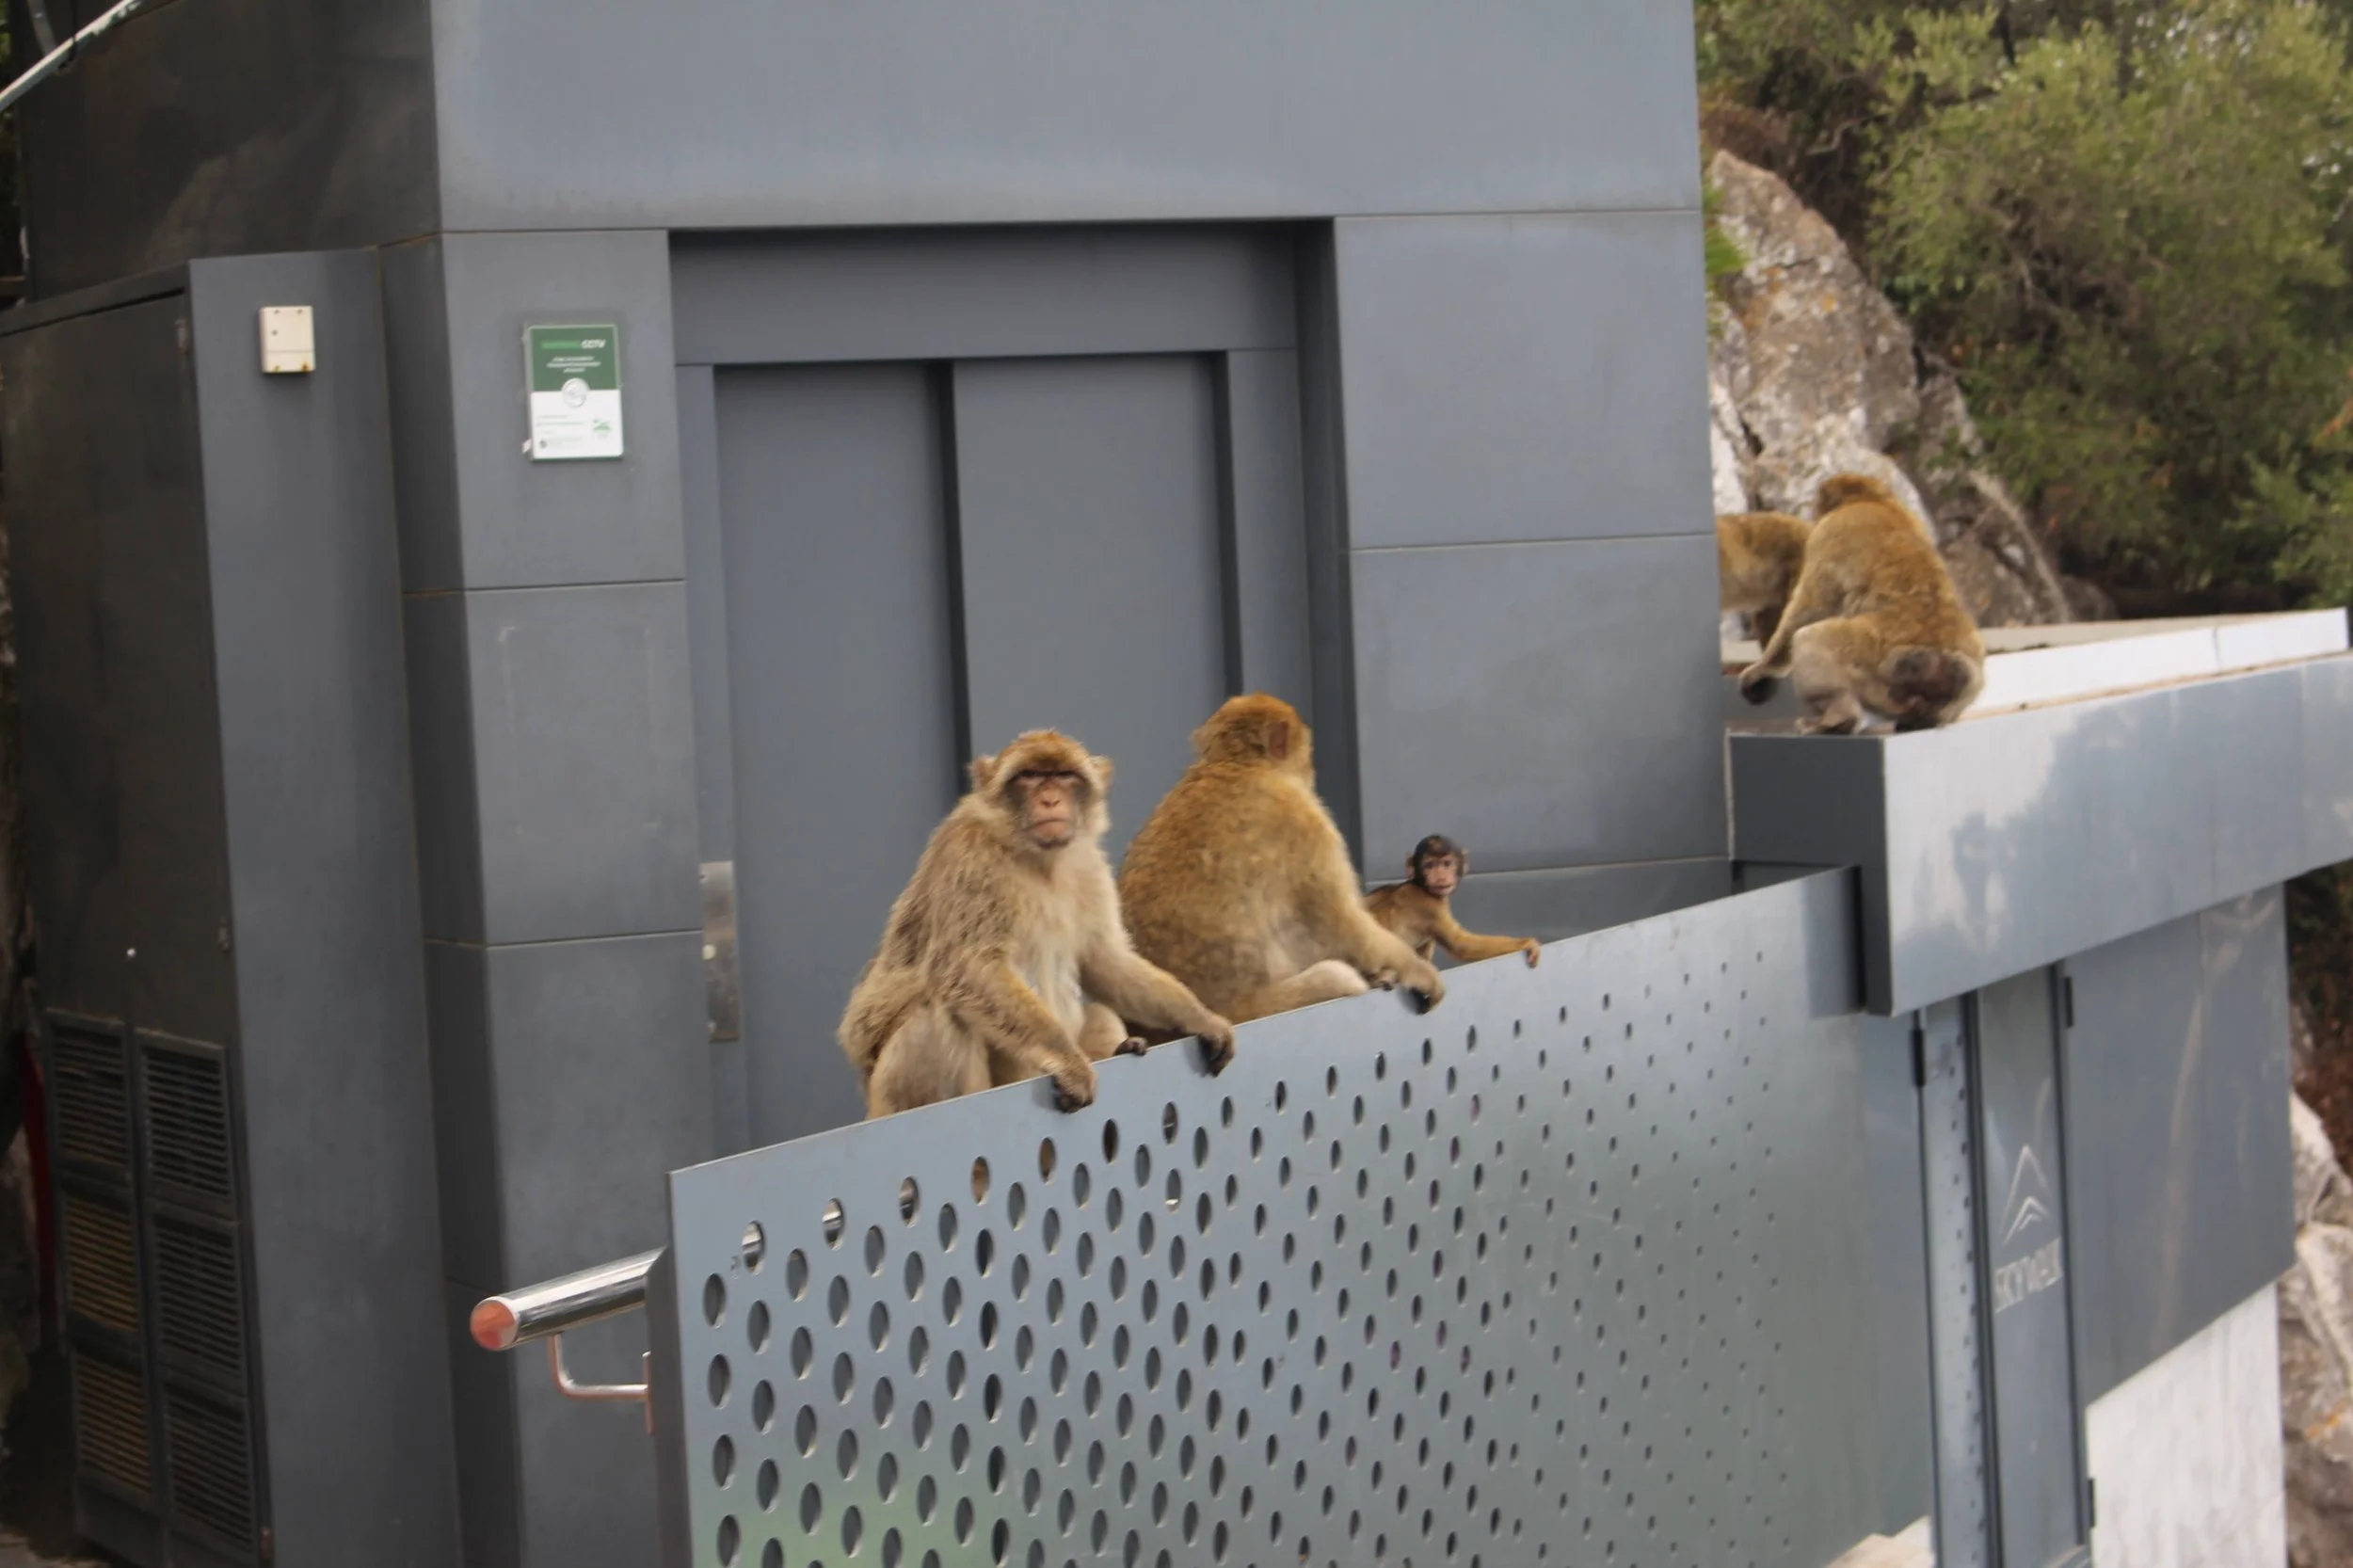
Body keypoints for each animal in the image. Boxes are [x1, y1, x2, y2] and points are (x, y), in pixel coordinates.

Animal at [839, 730, 1237, 1119]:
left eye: (1064, 776)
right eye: (1030, 776)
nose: (1050, 799)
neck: (1039, 860)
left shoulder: (1089, 866)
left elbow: (1105, 962)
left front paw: (1199, 1017)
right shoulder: (971, 855)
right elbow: (969, 966)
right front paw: (1067, 1060)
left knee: (1098, 1009)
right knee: (937, 1020)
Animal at [1118, 694, 1446, 1024]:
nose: (1311, 772)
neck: (1238, 764)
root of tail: (1228, 1010)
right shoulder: (1305, 823)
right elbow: (1342, 925)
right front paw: (1419, 972)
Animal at [1365, 834, 1542, 971]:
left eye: (1447, 864)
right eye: (1429, 865)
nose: (1440, 875)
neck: (1419, 885)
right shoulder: (1430, 905)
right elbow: (1461, 944)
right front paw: (1525, 943)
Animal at [1737, 473, 1985, 734]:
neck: (1871, 500)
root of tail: (1937, 666)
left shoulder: (1827, 531)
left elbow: (1809, 609)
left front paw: (1761, 669)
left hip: (1874, 658)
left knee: (1810, 638)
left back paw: (1837, 717)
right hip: (1961, 675)